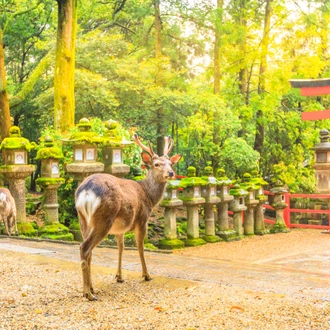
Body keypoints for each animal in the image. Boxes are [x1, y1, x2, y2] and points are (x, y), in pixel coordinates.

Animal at [75, 133, 182, 300]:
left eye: (171, 163)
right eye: (157, 164)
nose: (170, 173)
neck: (149, 196)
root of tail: (86, 191)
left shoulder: (120, 229)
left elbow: (121, 248)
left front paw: (119, 276)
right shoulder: (142, 219)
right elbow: (140, 247)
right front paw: (146, 275)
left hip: (83, 219)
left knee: (89, 251)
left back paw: (91, 288)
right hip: (104, 218)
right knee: (85, 248)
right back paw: (88, 294)